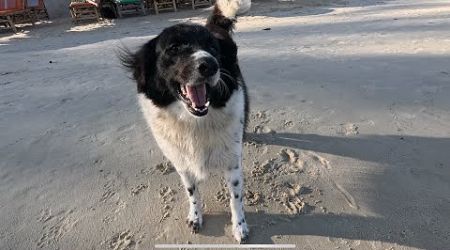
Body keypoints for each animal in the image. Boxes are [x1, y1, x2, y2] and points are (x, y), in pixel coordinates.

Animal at [119, 0, 251, 242]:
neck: (194, 121)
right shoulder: (181, 162)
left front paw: (239, 226)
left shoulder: (232, 161)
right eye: (173, 48)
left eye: (213, 49)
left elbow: (235, 197)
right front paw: (195, 216)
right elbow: (192, 193)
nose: (210, 65)